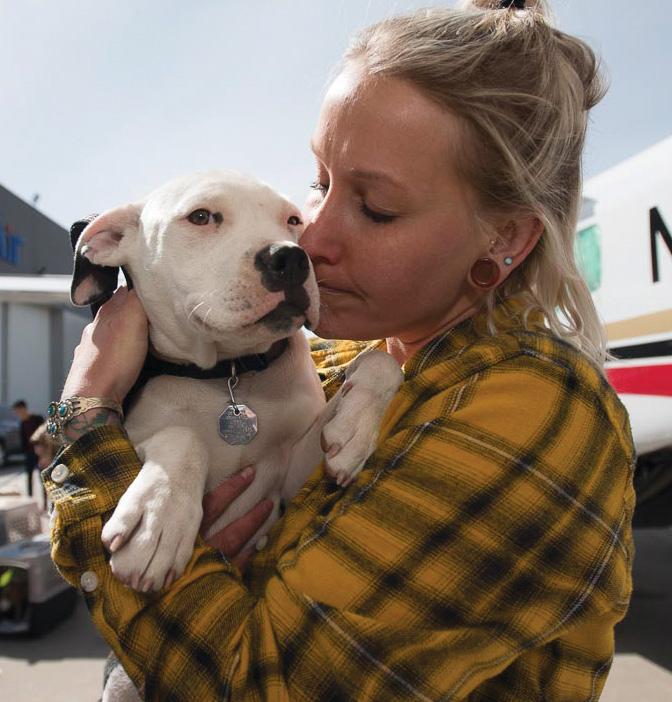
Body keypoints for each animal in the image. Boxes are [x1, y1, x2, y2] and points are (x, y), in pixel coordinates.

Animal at [71, 171, 403, 701]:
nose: (291, 257)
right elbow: (182, 440)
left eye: (294, 220)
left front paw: (354, 429)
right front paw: (159, 519)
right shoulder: (130, 433)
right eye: (201, 217)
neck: (228, 375)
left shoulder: (289, 470)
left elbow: (380, 359)